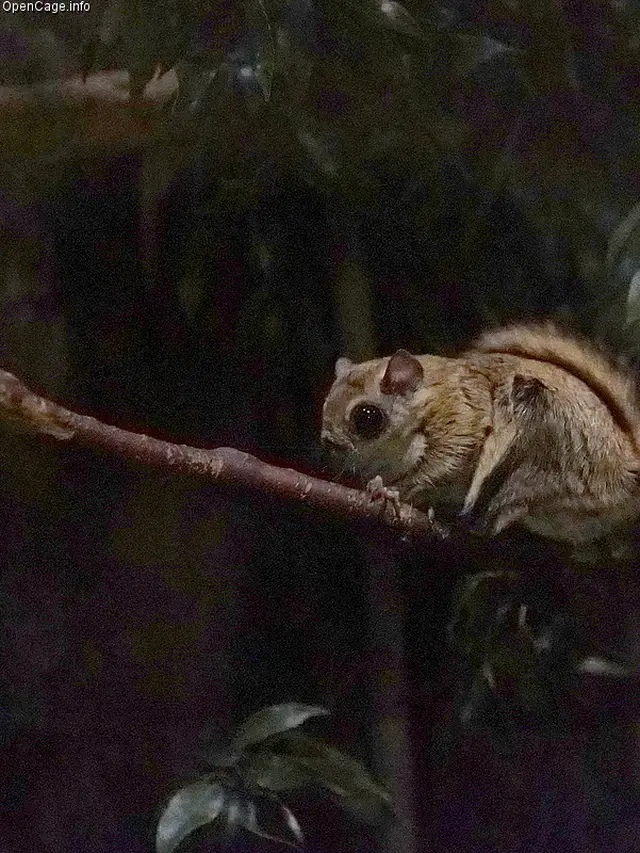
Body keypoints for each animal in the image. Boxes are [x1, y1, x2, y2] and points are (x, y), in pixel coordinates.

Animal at [321, 323, 640, 549]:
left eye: (366, 417)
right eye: (325, 404)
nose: (329, 443)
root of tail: (626, 466)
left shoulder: (460, 419)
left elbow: (442, 465)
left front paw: (390, 491)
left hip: (548, 449)